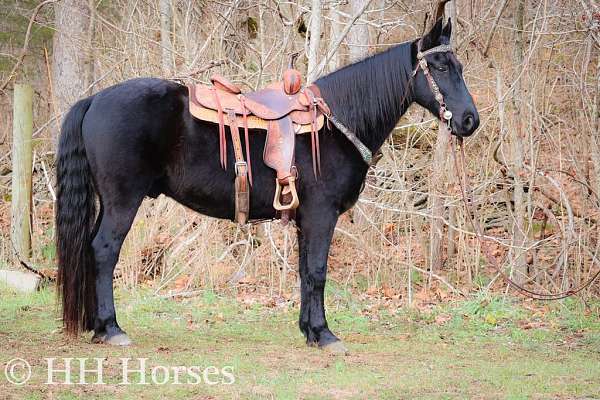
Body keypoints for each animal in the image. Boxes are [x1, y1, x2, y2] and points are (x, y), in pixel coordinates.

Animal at [56, 19, 478, 354]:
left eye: (458, 65)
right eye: (441, 66)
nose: (470, 120)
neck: (335, 123)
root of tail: (95, 99)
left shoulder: (305, 219)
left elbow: (305, 272)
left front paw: (309, 331)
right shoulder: (322, 215)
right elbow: (318, 272)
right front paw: (325, 335)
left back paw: (97, 326)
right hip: (122, 201)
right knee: (104, 251)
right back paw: (112, 329)